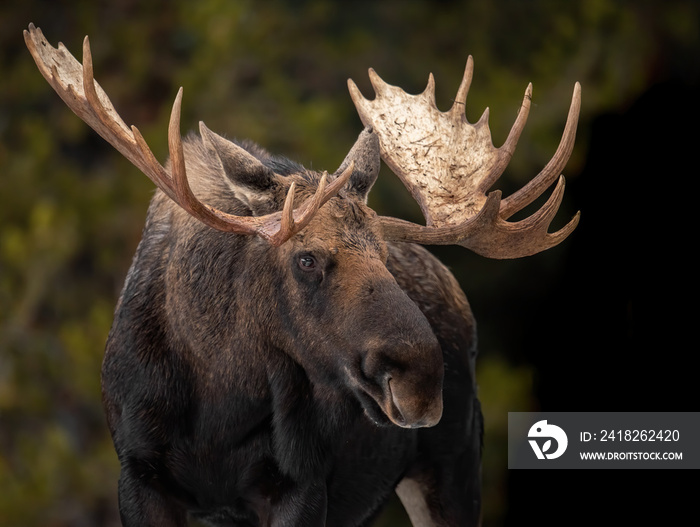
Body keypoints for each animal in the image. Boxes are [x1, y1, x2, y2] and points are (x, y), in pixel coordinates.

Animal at [24, 22, 580, 524]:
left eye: (384, 253)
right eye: (306, 258)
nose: (421, 380)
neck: (217, 410)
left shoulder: (302, 484)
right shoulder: (140, 475)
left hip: (454, 465)